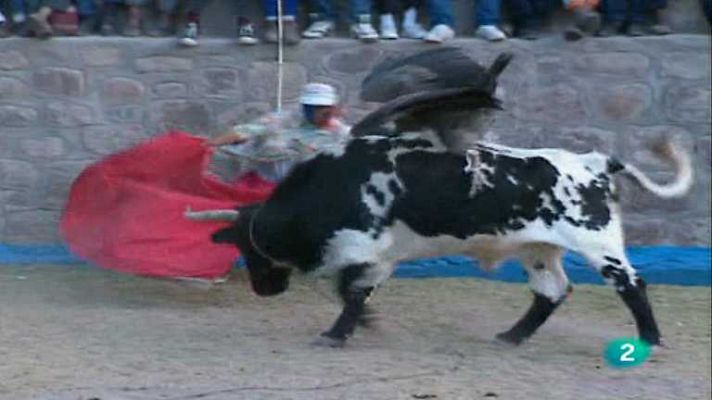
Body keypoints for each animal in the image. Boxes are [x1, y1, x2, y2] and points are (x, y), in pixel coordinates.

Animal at [189, 133, 688, 348]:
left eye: (248, 246)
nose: (263, 289)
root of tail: (594, 162)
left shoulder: (368, 252)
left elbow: (349, 291)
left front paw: (338, 333)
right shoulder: (376, 257)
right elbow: (351, 292)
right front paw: (358, 324)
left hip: (599, 244)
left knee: (631, 284)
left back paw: (650, 337)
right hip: (538, 251)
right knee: (551, 292)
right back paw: (511, 335)